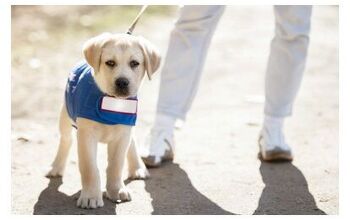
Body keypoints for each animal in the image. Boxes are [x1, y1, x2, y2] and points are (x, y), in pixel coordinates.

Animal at [46, 32, 161, 208]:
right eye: (110, 63)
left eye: (134, 63)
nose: (122, 82)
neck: (111, 101)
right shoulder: (86, 136)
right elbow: (90, 168)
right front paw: (91, 196)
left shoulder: (122, 133)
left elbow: (116, 166)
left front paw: (117, 190)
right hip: (65, 115)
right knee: (66, 140)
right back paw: (56, 167)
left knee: (132, 143)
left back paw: (137, 168)